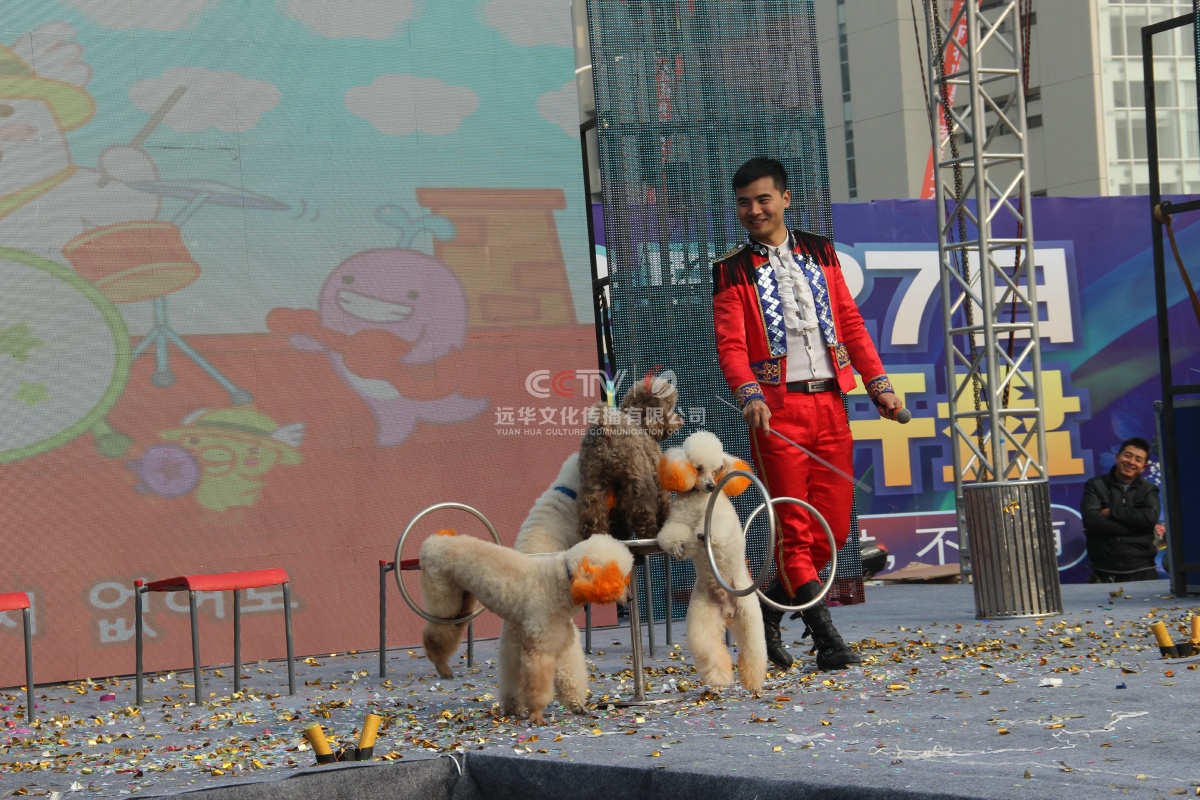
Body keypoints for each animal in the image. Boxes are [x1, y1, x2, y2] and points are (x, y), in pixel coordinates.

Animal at [419, 529, 633, 724]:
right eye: (616, 577)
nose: (630, 598)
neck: (560, 583)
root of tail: (433, 541)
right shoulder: (540, 646)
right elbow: (538, 681)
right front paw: (536, 713)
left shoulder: (557, 641)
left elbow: (567, 673)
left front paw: (575, 704)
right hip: (444, 596)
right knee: (435, 633)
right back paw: (441, 665)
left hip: (462, 601)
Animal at [576, 376, 683, 542]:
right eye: (669, 406)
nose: (680, 421)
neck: (640, 421)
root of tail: (606, 428)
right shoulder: (654, 473)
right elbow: (663, 499)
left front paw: (620, 532)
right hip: (637, 474)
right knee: (641, 507)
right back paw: (647, 531)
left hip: (593, 478)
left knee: (591, 509)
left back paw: (594, 534)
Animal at [656, 430, 767, 695]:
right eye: (698, 468)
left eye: (717, 469)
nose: (711, 486)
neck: (699, 498)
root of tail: (727, 610)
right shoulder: (677, 520)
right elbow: (673, 534)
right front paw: (677, 547)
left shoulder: (720, 517)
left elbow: (716, 529)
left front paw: (702, 534)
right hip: (703, 619)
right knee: (710, 650)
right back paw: (717, 683)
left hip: (748, 616)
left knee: (753, 649)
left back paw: (754, 685)